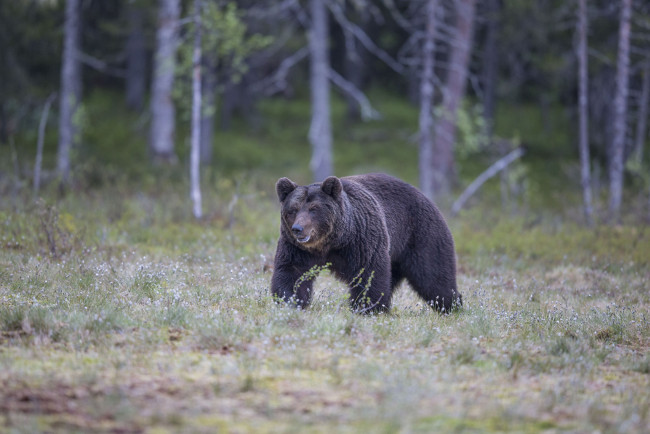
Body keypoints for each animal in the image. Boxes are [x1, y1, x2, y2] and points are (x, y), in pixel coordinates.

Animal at [270, 172, 458, 312]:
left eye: (314, 209)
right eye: (293, 210)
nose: (298, 228)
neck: (331, 242)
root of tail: (426, 198)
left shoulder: (362, 239)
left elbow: (369, 271)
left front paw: (367, 307)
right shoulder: (297, 248)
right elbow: (292, 272)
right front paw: (289, 300)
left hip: (420, 234)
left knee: (433, 275)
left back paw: (451, 305)